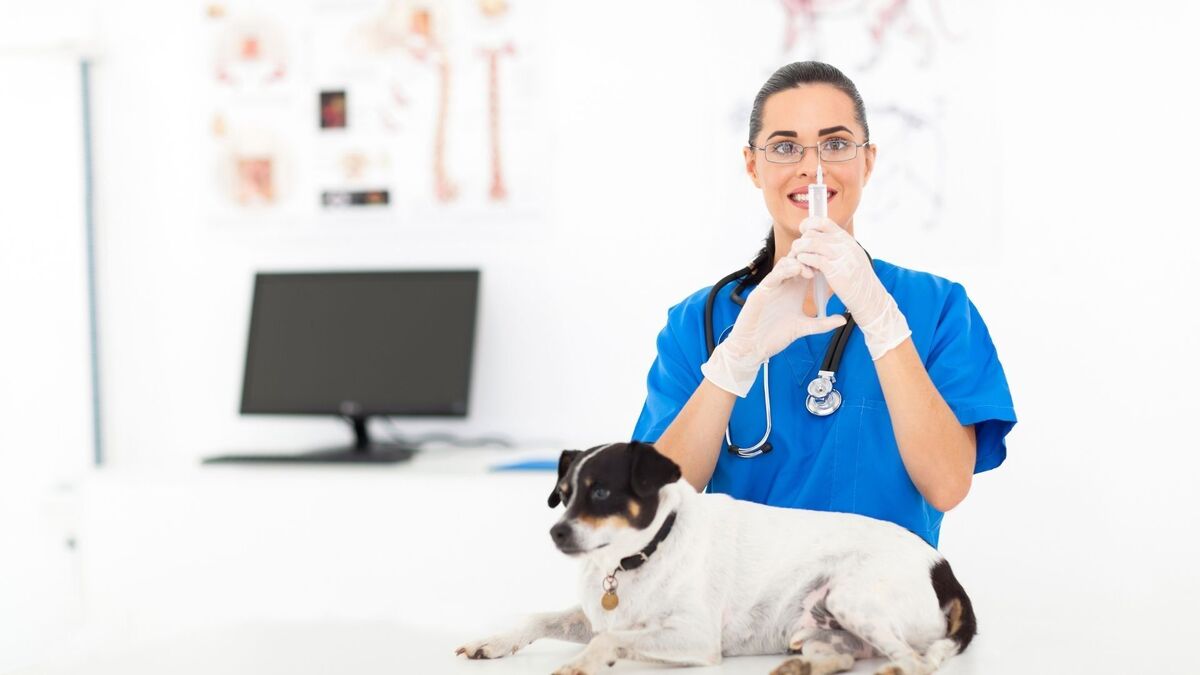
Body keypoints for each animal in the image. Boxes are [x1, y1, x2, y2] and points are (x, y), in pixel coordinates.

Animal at [458, 441, 974, 672]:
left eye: (601, 492)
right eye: (563, 495)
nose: (556, 532)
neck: (639, 558)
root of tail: (943, 570)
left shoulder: (696, 638)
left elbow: (610, 640)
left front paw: (584, 663)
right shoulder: (595, 616)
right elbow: (541, 619)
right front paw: (493, 641)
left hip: (854, 600)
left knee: (917, 661)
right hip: (820, 630)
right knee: (841, 659)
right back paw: (798, 667)